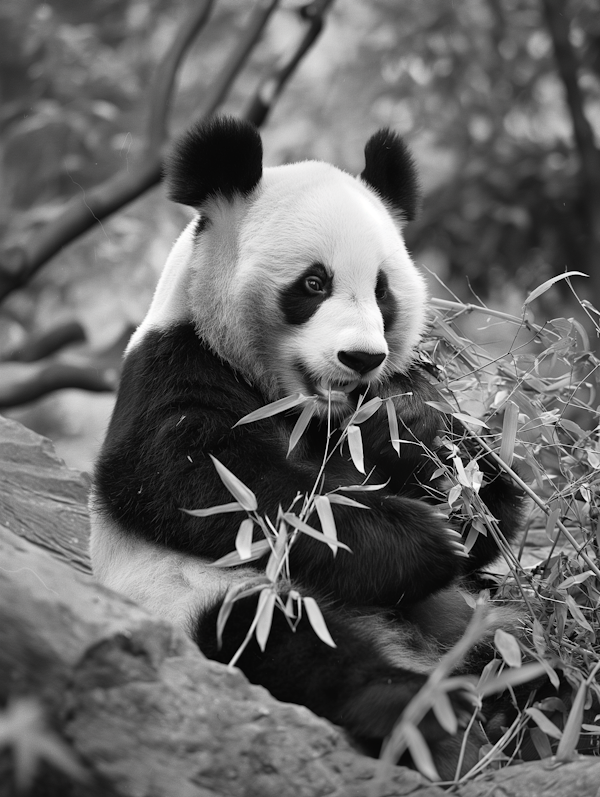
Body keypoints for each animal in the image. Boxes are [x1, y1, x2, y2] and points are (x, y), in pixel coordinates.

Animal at [89, 118, 524, 776]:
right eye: (313, 283)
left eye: (382, 291)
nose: (361, 358)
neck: (300, 405)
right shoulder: (176, 366)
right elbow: (203, 485)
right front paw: (424, 538)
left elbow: (487, 505)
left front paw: (415, 433)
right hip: (206, 602)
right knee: (285, 641)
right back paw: (422, 710)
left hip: (477, 614)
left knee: (522, 635)